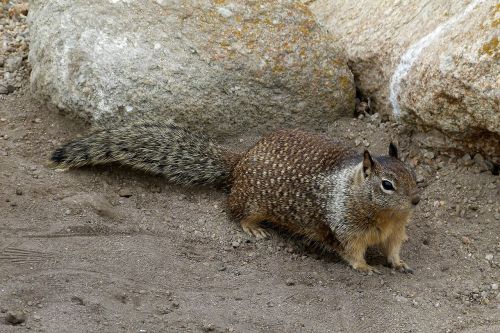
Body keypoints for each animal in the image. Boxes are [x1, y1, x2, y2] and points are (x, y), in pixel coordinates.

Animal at [50, 118, 420, 272]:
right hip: (252, 202)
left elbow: (394, 249)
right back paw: (253, 228)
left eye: (413, 175)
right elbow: (351, 252)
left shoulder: (396, 231)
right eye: (387, 185)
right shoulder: (344, 228)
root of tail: (240, 161)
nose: (416, 201)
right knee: (234, 211)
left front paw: (399, 263)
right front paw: (365, 268)